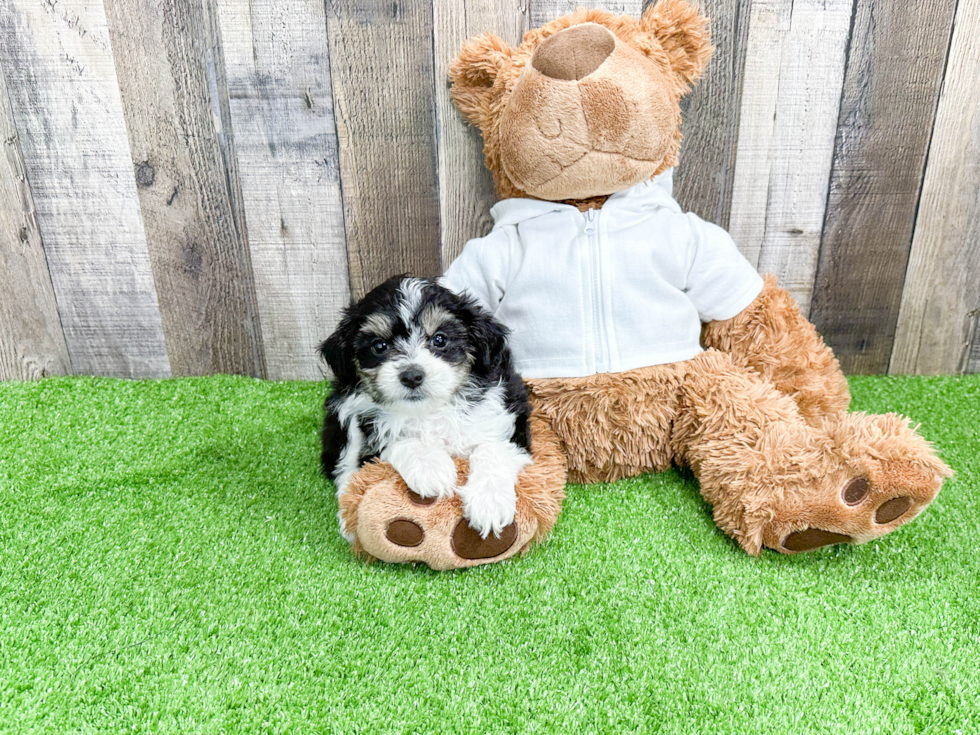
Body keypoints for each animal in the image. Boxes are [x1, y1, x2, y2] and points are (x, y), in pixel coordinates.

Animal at [320, 276, 536, 540]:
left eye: (440, 339)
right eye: (379, 346)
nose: (412, 375)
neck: (429, 410)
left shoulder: (510, 413)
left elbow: (494, 448)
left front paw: (489, 502)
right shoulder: (361, 421)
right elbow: (393, 439)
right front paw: (430, 467)